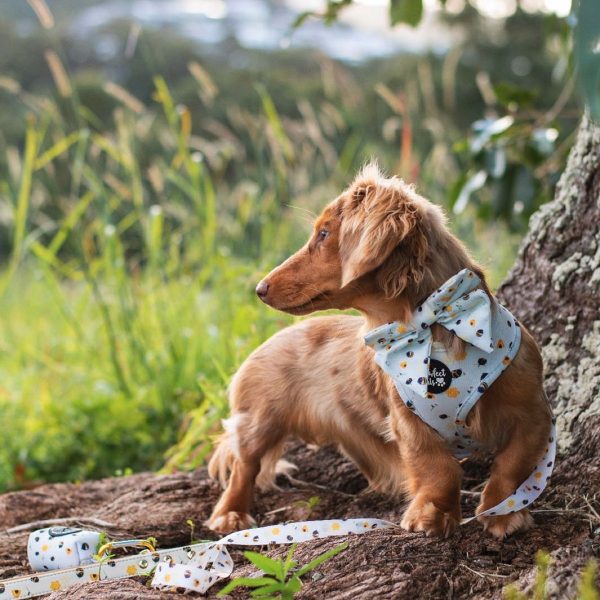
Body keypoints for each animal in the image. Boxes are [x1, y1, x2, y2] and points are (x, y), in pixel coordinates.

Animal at [207, 163, 552, 540]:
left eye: (324, 234)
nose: (259, 288)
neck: (436, 327)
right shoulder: (410, 424)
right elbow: (439, 470)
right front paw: (431, 516)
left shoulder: (532, 415)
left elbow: (511, 466)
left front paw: (503, 512)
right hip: (259, 420)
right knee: (244, 467)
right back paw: (230, 515)